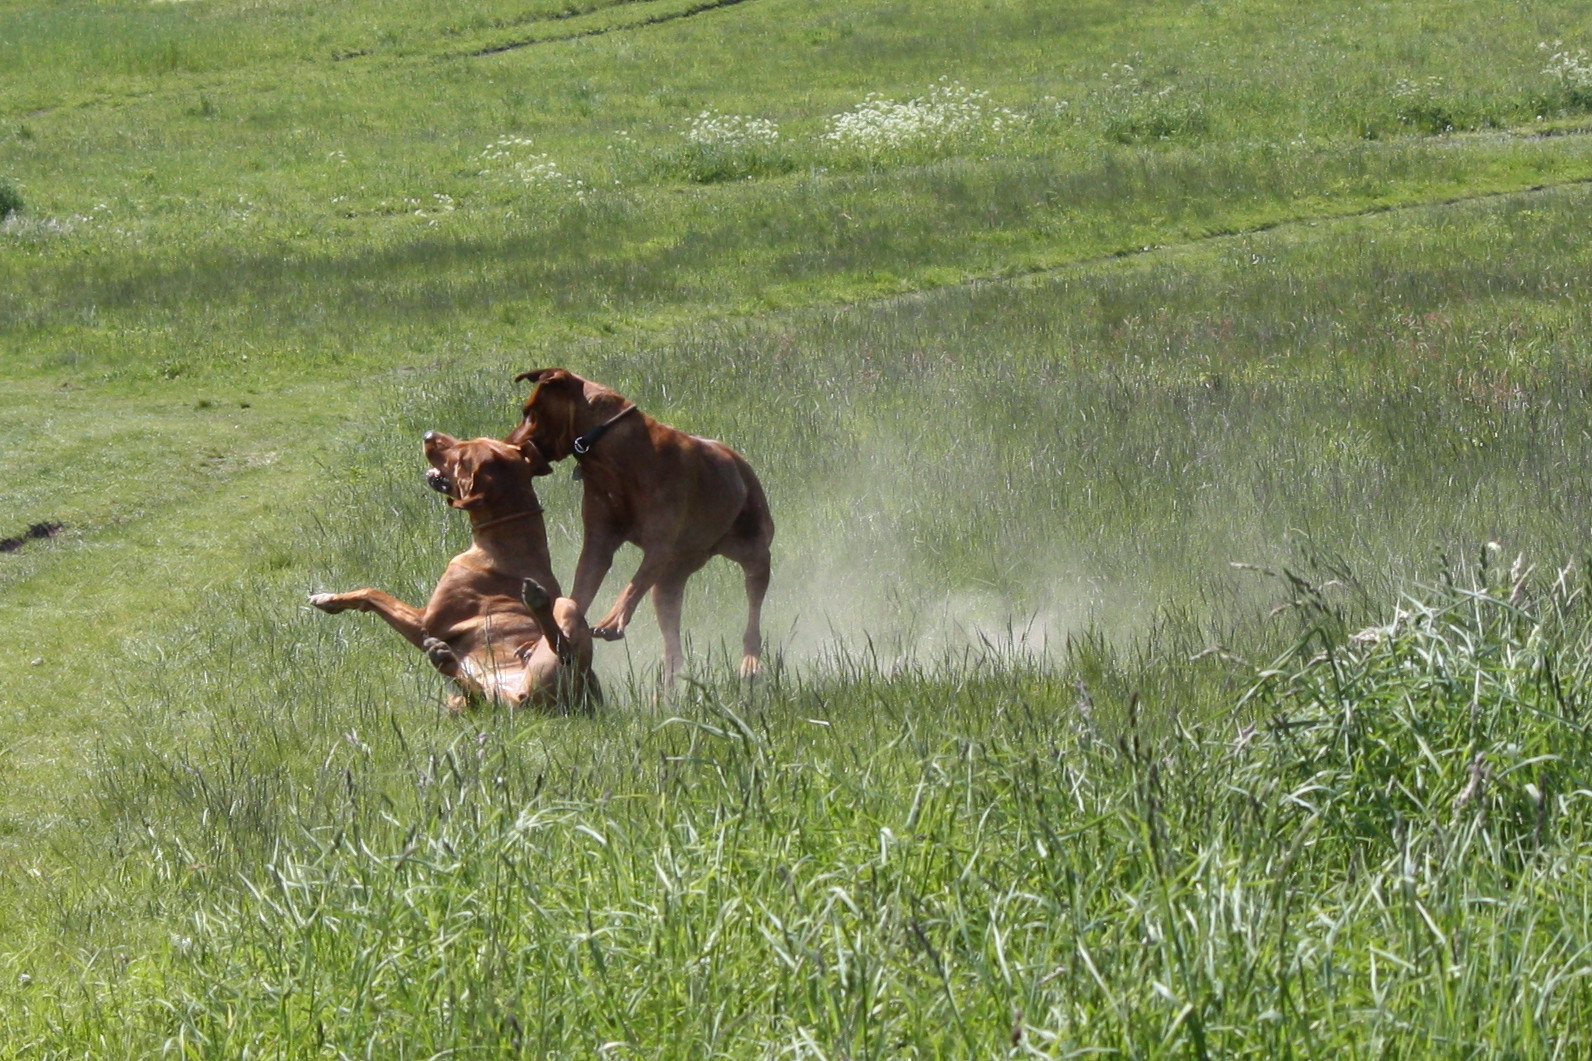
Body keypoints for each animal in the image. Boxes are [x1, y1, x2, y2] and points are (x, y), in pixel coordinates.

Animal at [305, 430, 598, 710]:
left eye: (460, 455)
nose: (428, 434)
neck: (507, 535)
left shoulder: (424, 623)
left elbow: (372, 592)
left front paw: (329, 599)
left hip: (564, 620)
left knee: (565, 649)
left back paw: (536, 606)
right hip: (465, 701)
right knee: (476, 696)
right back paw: (444, 659)